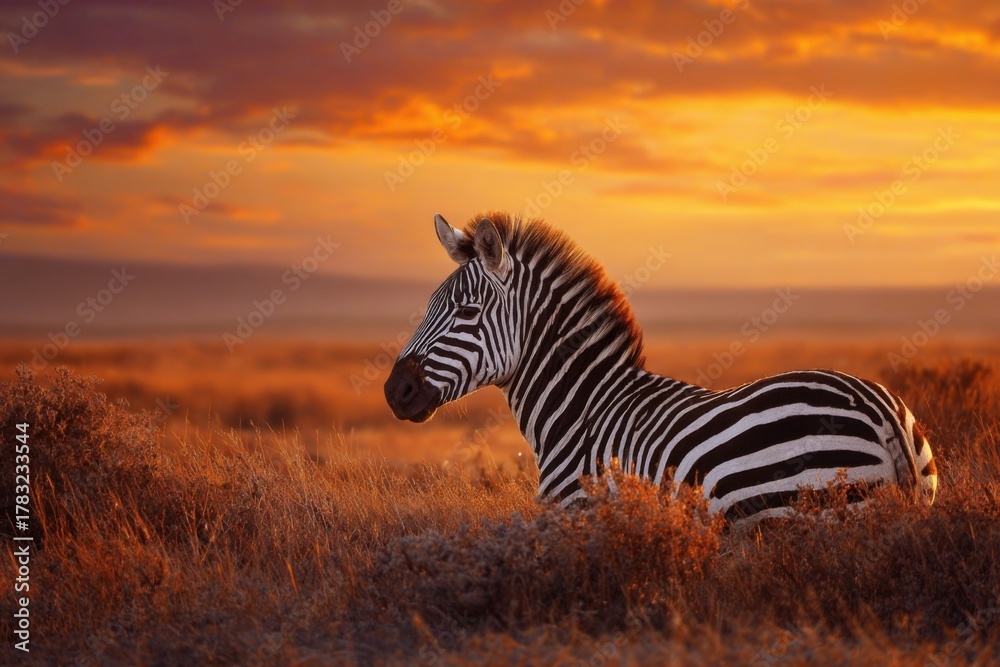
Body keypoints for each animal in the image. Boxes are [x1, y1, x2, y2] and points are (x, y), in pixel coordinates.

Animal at [384, 212, 938, 524]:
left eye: (467, 312)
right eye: (428, 306)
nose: (395, 391)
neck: (583, 411)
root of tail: (876, 408)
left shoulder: (578, 518)